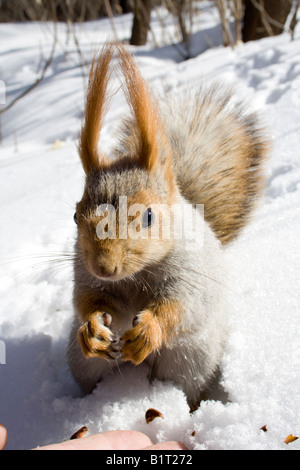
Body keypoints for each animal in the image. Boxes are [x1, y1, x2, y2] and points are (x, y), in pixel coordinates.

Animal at [67, 44, 268, 412]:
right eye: (75, 217)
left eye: (148, 216)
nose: (104, 268)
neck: (135, 276)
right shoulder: (83, 271)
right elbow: (88, 299)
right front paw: (92, 327)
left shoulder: (190, 270)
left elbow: (183, 305)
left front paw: (150, 330)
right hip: (81, 363)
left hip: (190, 359)